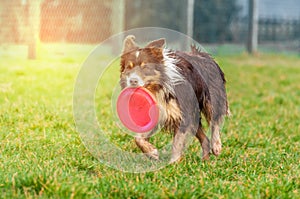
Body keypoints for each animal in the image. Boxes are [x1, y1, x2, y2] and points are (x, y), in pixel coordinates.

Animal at [118, 34, 229, 162]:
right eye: (128, 68)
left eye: (145, 68)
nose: (132, 81)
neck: (157, 89)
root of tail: (204, 55)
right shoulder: (158, 113)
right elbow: (138, 138)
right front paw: (151, 152)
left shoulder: (182, 114)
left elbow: (177, 143)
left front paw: (173, 163)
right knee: (204, 138)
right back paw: (205, 160)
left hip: (211, 99)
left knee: (215, 121)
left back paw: (216, 146)